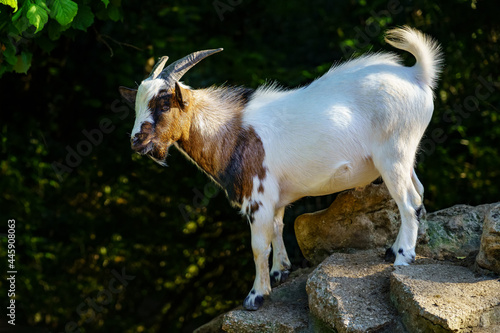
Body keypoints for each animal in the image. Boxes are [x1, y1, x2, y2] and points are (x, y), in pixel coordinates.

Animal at [119, 26, 444, 312]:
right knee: (418, 193)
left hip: (393, 153)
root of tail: (416, 75)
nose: (136, 141)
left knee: (409, 201)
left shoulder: (258, 197)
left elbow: (258, 246)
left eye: (164, 104)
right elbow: (278, 228)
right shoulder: (275, 197)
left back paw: (403, 257)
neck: (231, 130)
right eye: (136, 105)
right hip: (406, 156)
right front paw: (279, 272)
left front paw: (256, 296)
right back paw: (395, 249)